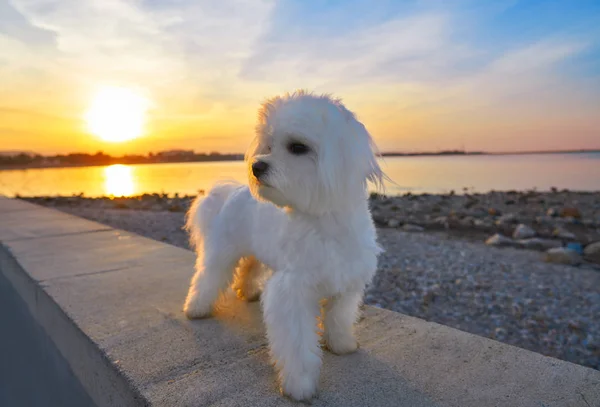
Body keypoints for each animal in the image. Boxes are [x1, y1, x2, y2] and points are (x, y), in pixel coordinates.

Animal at [183, 90, 384, 402]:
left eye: (297, 147)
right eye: (268, 145)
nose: (256, 165)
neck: (323, 222)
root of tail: (232, 190)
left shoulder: (347, 283)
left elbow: (339, 318)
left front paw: (341, 344)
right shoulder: (293, 292)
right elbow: (298, 345)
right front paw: (299, 385)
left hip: (257, 251)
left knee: (249, 269)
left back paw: (248, 291)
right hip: (222, 252)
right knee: (208, 276)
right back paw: (196, 308)